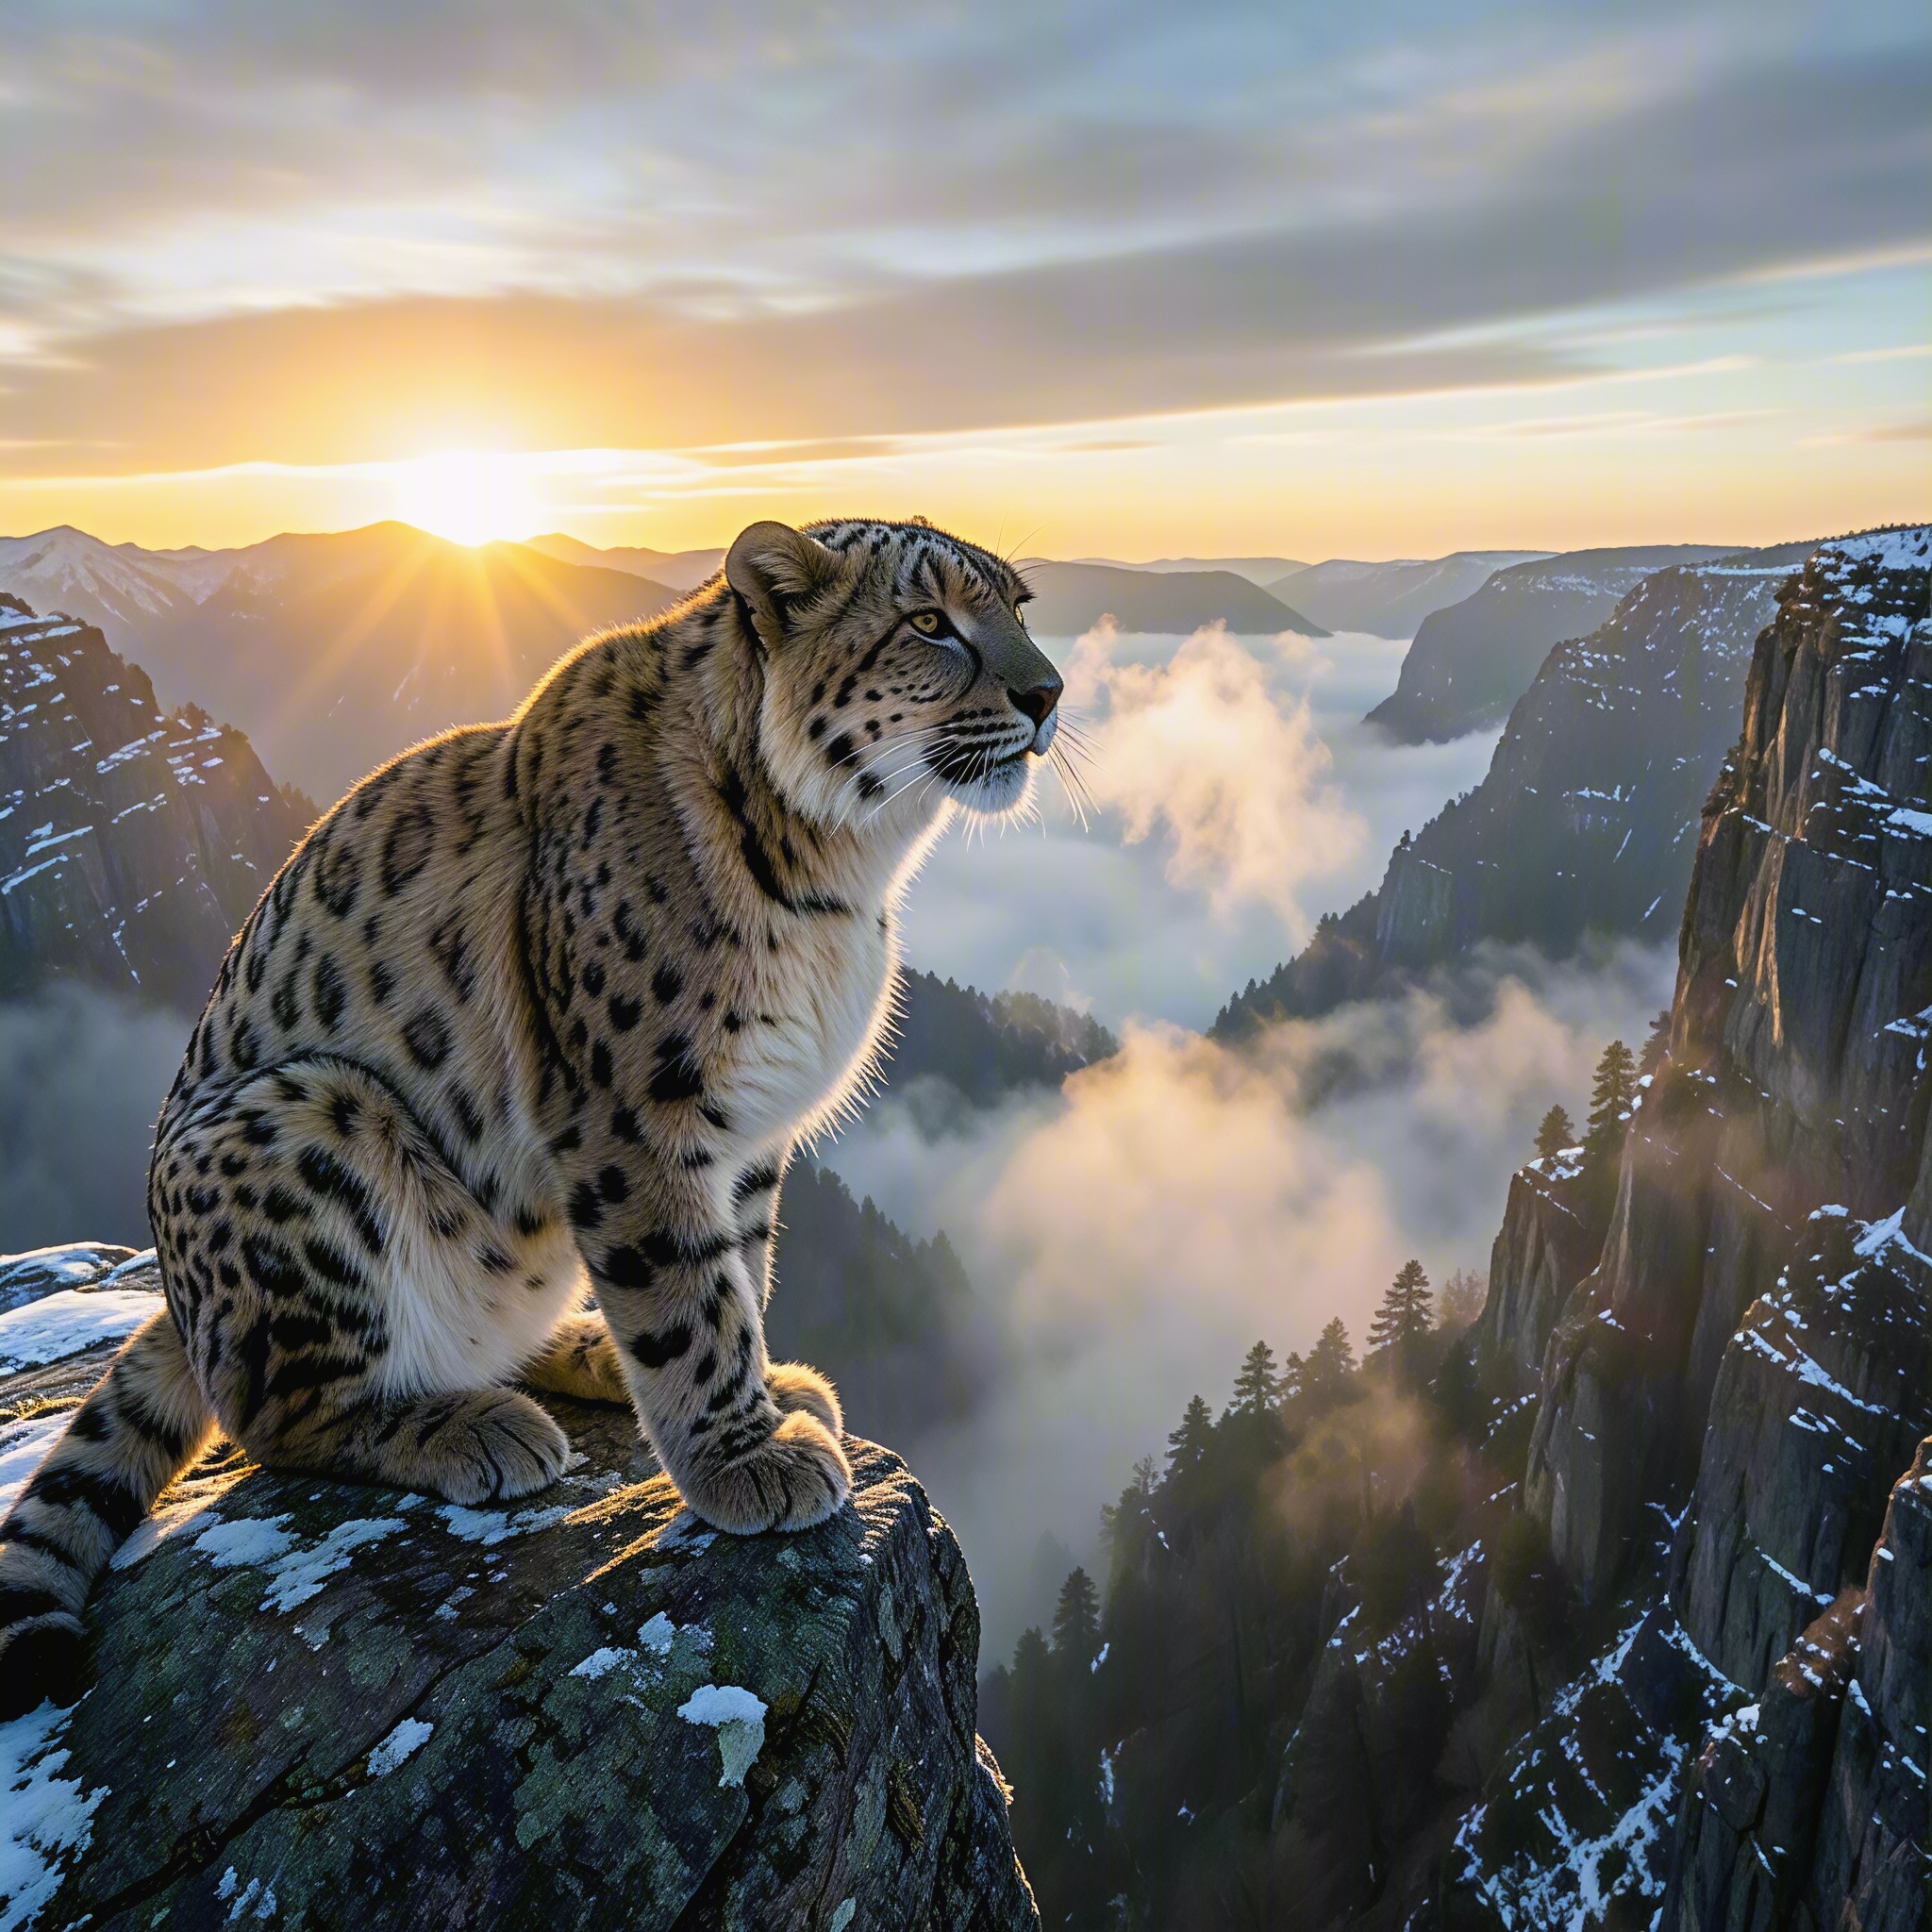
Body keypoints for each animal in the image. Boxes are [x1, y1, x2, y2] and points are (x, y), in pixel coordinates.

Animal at [0, 514, 1062, 1717]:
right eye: (929, 620)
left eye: (1017, 603)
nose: (1049, 692)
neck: (844, 879)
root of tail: (182, 1296)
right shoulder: (637, 1113)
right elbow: (687, 1292)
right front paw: (743, 1456)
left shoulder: (750, 1131)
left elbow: (737, 1266)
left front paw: (759, 1392)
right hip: (307, 1124)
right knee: (270, 1408)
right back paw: (476, 1426)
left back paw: (587, 1351)